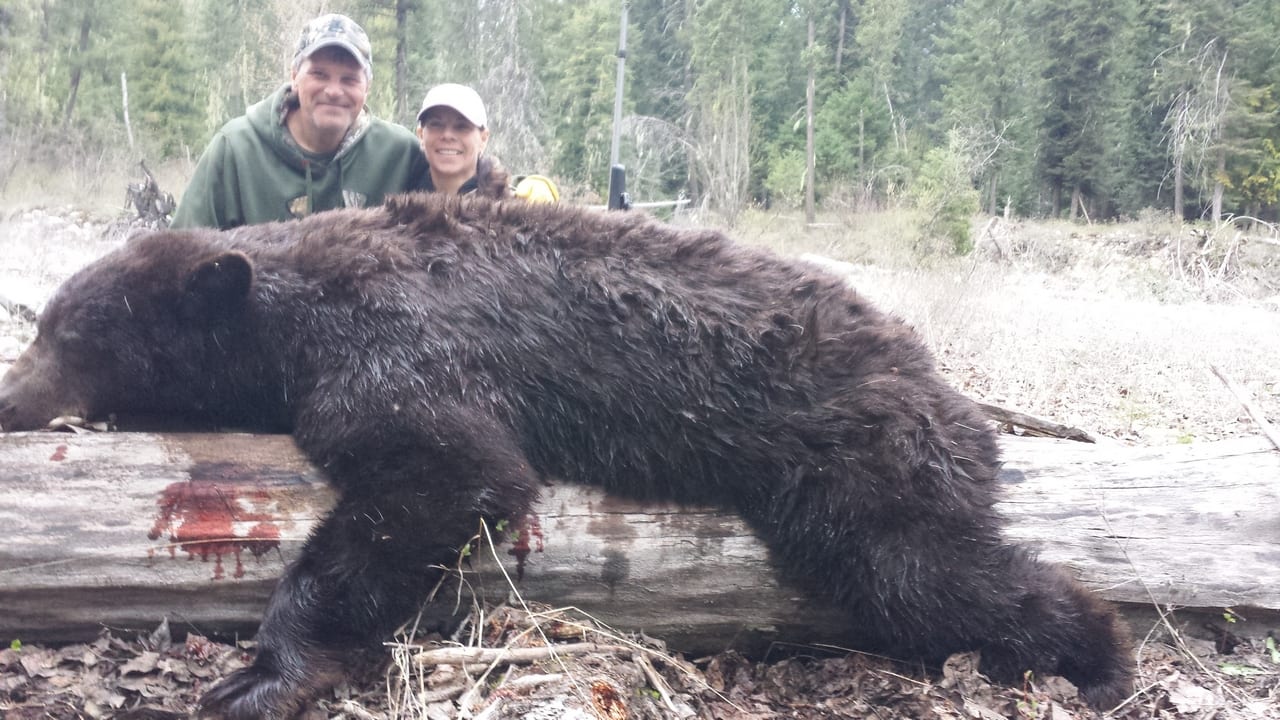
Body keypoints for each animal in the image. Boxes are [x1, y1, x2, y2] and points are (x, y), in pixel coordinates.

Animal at [0, 193, 1132, 718]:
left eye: (69, 331)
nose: (11, 396)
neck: (281, 312)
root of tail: (934, 374)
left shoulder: (390, 345)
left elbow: (451, 478)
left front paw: (263, 673)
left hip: (858, 451)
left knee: (922, 569)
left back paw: (1102, 655)